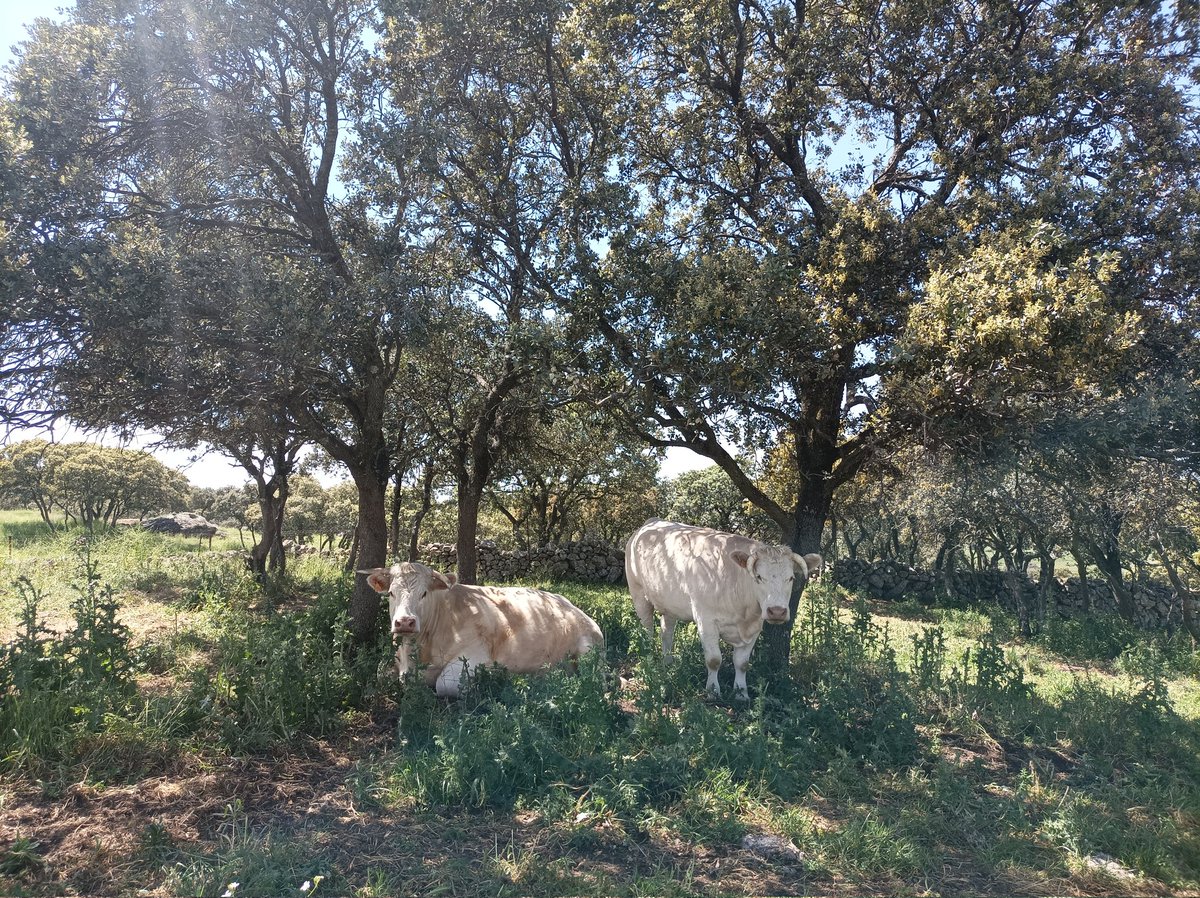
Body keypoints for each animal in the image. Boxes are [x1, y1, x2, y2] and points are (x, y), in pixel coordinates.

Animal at [352, 561, 600, 701]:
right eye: (391, 593)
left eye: (424, 593)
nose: (405, 622)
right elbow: (379, 673)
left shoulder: (473, 656)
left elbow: (445, 685)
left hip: (588, 652)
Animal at [628, 518, 816, 701]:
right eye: (759, 577)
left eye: (791, 578)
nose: (777, 611)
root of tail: (649, 524)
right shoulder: (706, 621)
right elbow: (714, 660)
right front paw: (713, 692)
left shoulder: (755, 626)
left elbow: (742, 663)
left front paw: (741, 693)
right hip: (639, 594)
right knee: (647, 632)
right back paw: (649, 661)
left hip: (669, 605)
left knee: (666, 632)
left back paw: (667, 663)